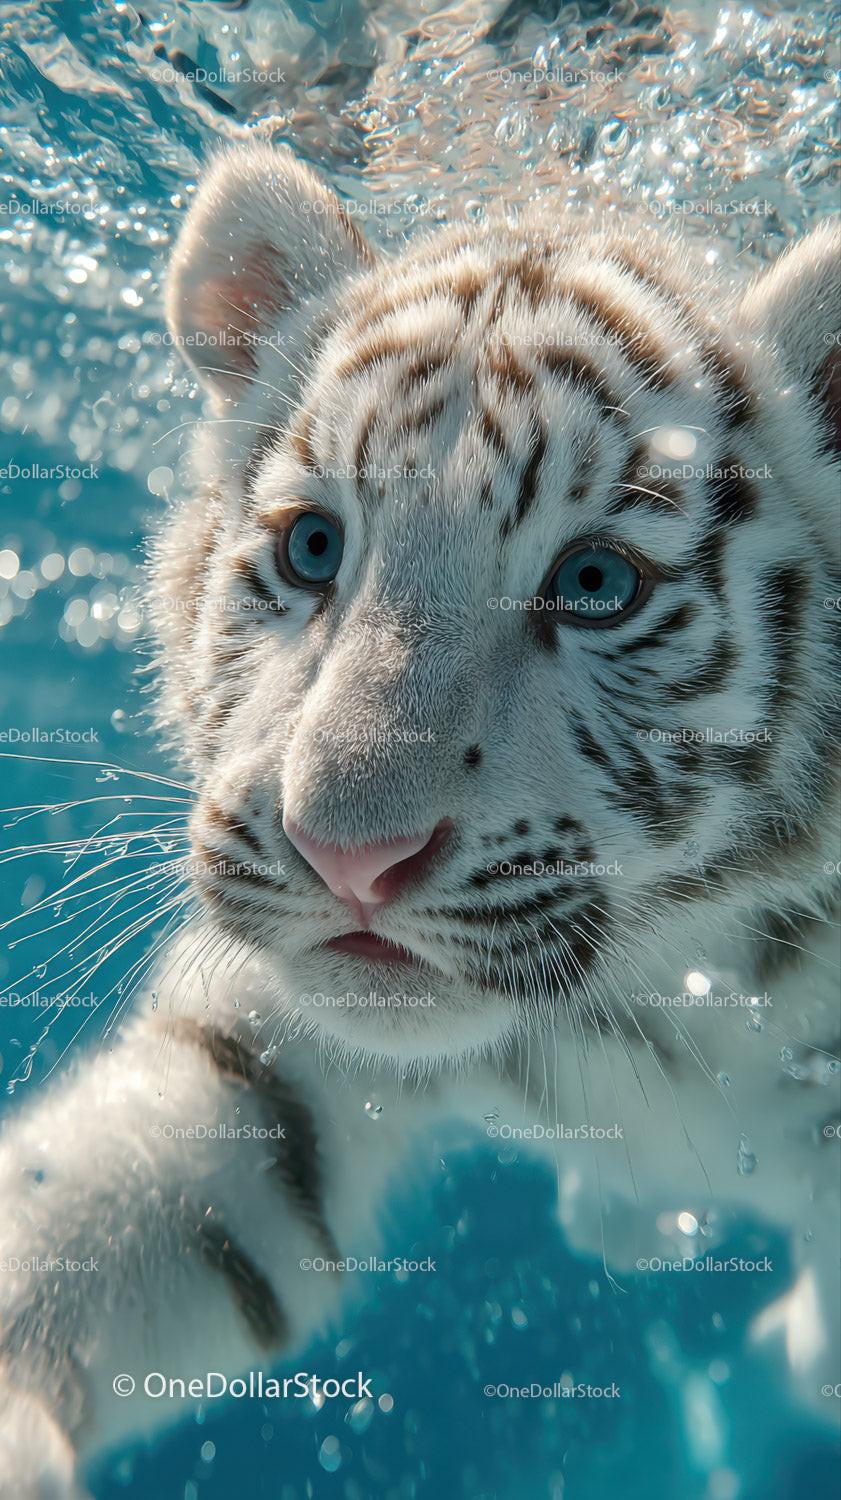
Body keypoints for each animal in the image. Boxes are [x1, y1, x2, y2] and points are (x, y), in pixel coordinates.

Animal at [0, 143, 838, 1496]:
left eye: (595, 583)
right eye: (312, 547)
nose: (349, 857)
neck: (657, 990)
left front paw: (799, 1354)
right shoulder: (279, 1041)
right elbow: (146, 1189)